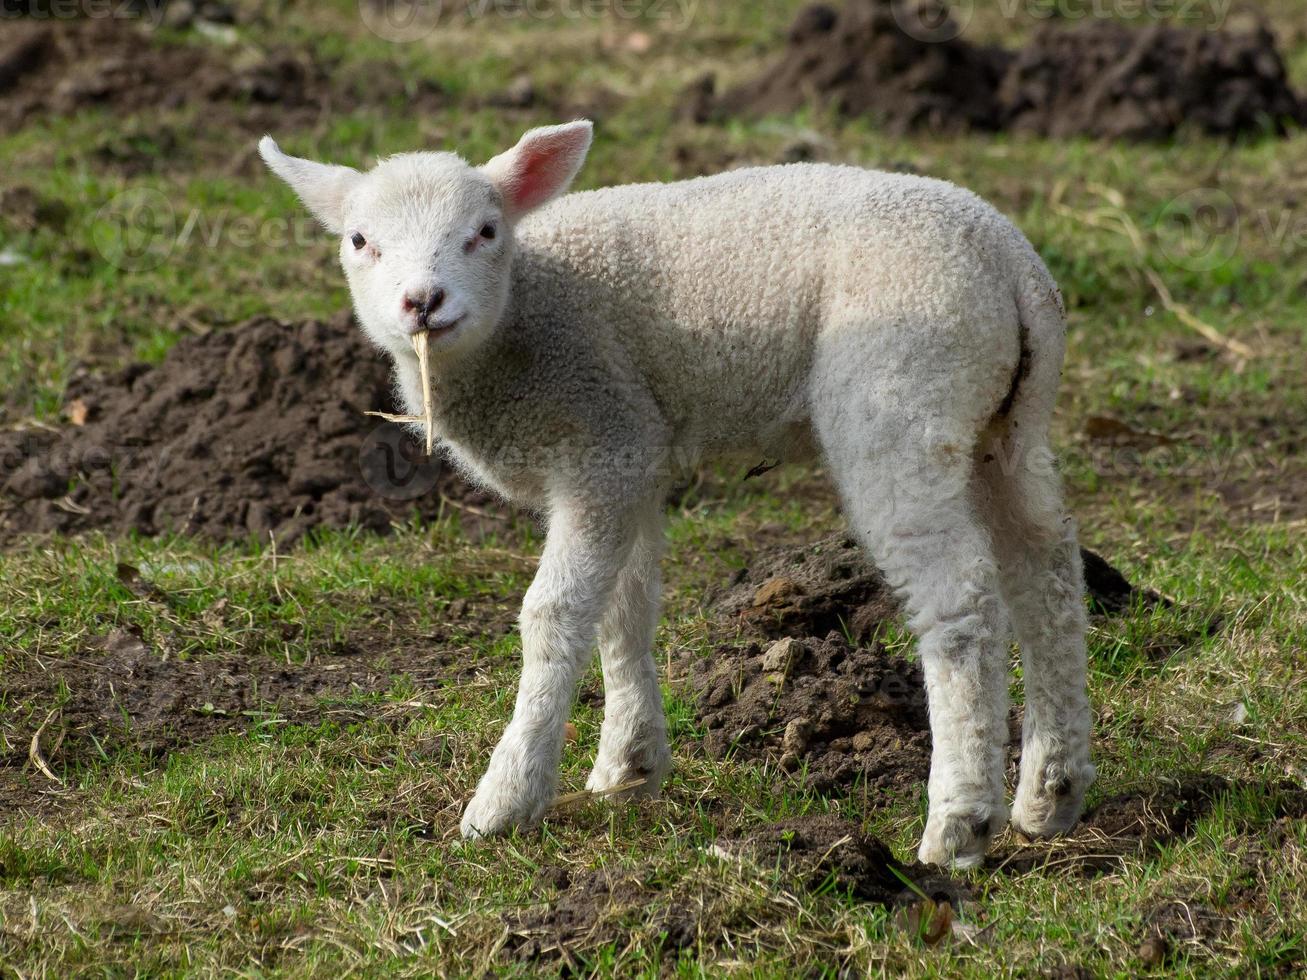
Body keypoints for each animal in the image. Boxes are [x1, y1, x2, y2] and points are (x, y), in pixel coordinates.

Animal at [254, 120, 1092, 867]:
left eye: (485, 232)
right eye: (359, 241)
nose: (422, 302)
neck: (525, 313)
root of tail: (1009, 264)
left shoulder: (600, 439)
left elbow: (555, 614)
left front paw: (505, 798)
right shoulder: (632, 457)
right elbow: (623, 608)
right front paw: (627, 765)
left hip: (900, 396)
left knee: (960, 600)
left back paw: (958, 823)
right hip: (1004, 423)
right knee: (1045, 568)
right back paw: (1049, 792)